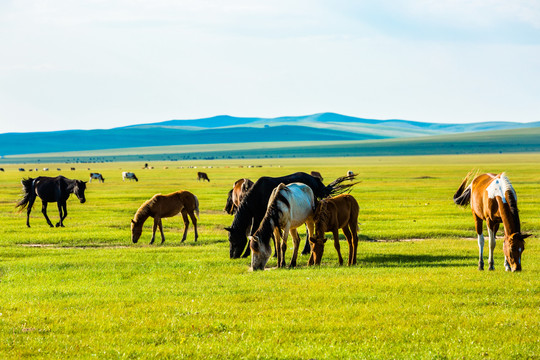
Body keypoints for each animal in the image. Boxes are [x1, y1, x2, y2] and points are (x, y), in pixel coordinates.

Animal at [225, 172, 356, 258]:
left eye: (234, 239)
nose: (232, 256)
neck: (256, 195)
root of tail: (315, 180)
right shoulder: (258, 217)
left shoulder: (260, 216)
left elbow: (253, 233)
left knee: (308, 230)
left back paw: (305, 250)